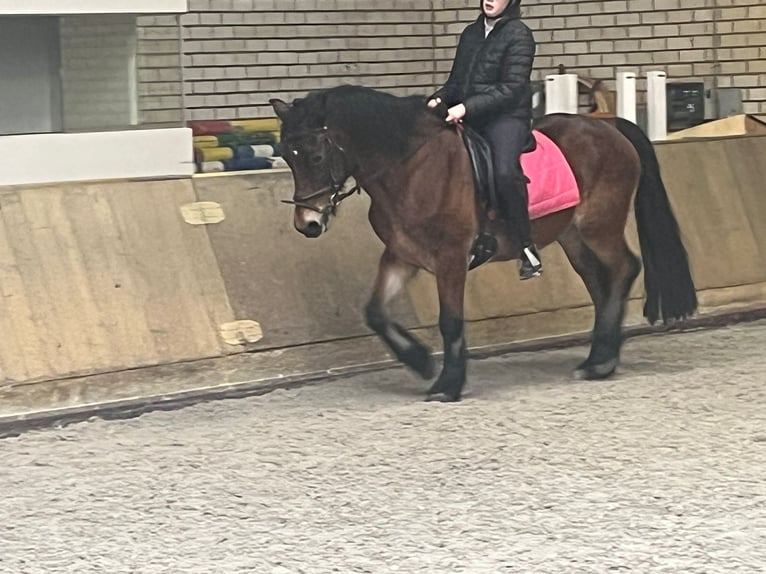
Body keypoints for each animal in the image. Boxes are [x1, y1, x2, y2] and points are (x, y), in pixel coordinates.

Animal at [270, 85, 697, 402]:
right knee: (599, 283)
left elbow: (450, 320)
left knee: (624, 269)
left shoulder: (452, 258)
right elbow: (374, 312)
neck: (410, 168)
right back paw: (597, 358)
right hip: (572, 235)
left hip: (598, 226)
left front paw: (448, 384)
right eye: (288, 156)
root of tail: (609, 128)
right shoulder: (402, 255)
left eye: (316, 155)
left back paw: (603, 362)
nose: (307, 224)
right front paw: (421, 362)